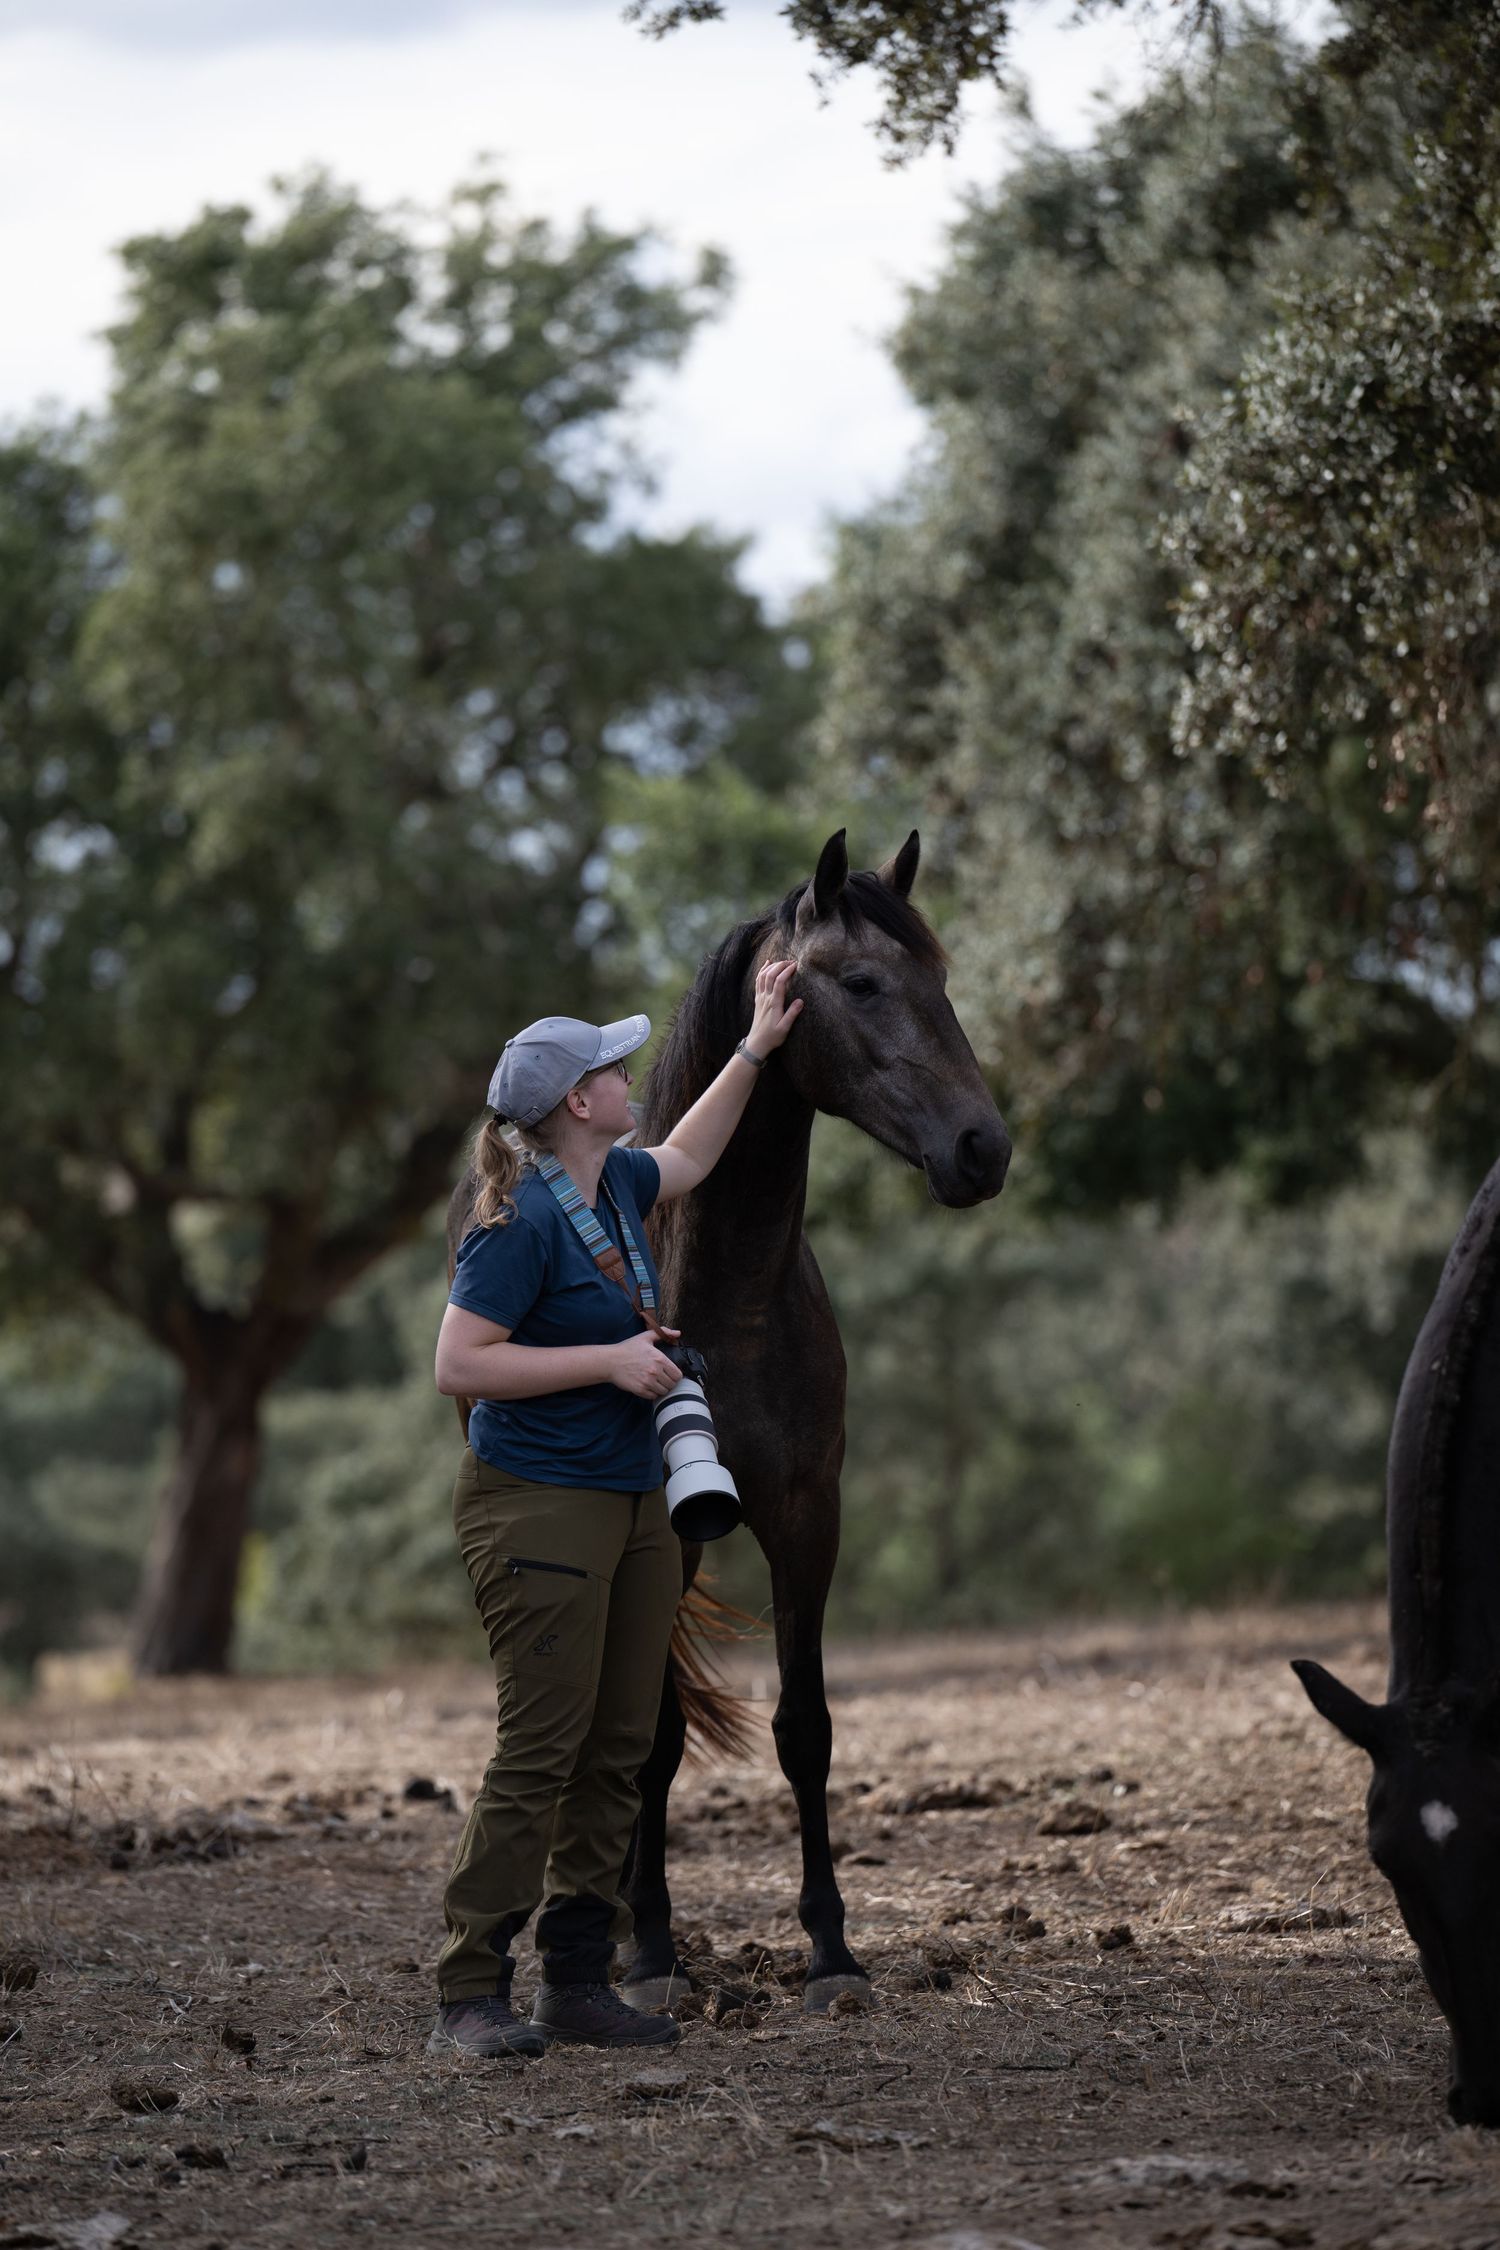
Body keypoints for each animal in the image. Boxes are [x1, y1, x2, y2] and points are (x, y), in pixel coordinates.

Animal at [618, 828, 1011, 2011]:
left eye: (942, 981)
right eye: (866, 983)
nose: (984, 1148)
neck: (729, 1299)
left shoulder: (806, 1517)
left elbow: (807, 1729)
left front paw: (832, 1951)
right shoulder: (666, 1535)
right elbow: (657, 1738)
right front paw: (651, 1950)